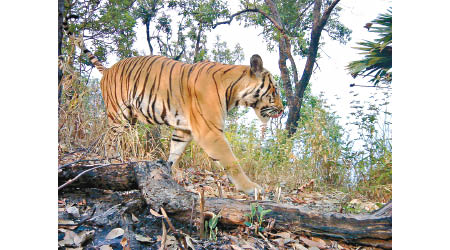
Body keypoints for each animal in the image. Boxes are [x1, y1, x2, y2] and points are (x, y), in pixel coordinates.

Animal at [63, 21, 284, 195]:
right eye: (275, 91)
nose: (282, 110)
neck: (234, 90)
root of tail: (108, 69)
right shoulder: (210, 131)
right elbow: (231, 161)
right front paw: (251, 188)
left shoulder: (183, 129)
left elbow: (175, 152)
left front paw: (168, 173)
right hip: (119, 116)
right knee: (108, 139)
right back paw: (110, 160)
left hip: (130, 119)